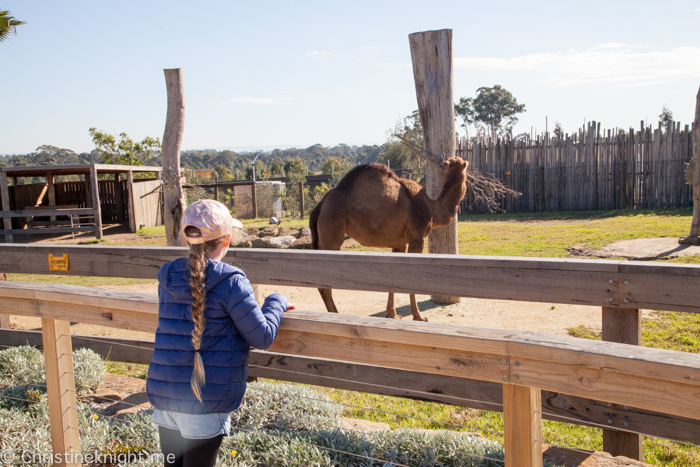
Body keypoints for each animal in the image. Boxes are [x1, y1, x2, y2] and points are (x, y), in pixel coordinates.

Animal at [310, 157, 468, 322]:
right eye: (462, 166)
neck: (433, 209)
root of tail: (319, 207)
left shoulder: (400, 243)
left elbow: (395, 278)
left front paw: (392, 313)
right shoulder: (417, 238)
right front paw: (418, 316)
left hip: (321, 238)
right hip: (331, 229)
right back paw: (335, 315)